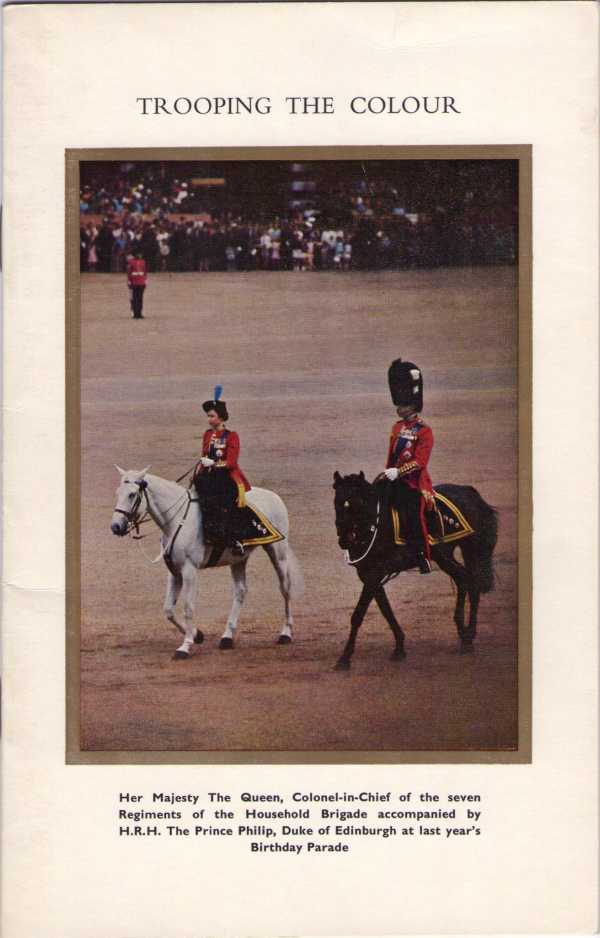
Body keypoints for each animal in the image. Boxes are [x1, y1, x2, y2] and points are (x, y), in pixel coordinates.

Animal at [110, 467, 302, 659]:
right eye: (118, 492)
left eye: (132, 494)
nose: (115, 527)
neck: (177, 519)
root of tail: (274, 496)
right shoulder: (174, 572)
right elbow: (168, 610)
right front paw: (197, 635)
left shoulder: (189, 570)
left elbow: (188, 607)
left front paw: (185, 646)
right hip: (238, 559)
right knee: (240, 591)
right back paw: (227, 637)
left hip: (278, 553)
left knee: (285, 589)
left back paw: (285, 633)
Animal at [332, 471, 498, 669]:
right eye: (336, 502)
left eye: (358, 502)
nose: (344, 540)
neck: (376, 524)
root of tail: (472, 494)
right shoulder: (369, 576)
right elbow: (386, 610)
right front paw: (399, 647)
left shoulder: (374, 575)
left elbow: (358, 614)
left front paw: (344, 658)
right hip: (445, 556)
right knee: (464, 580)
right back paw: (464, 634)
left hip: (465, 550)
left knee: (472, 583)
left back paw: (468, 637)